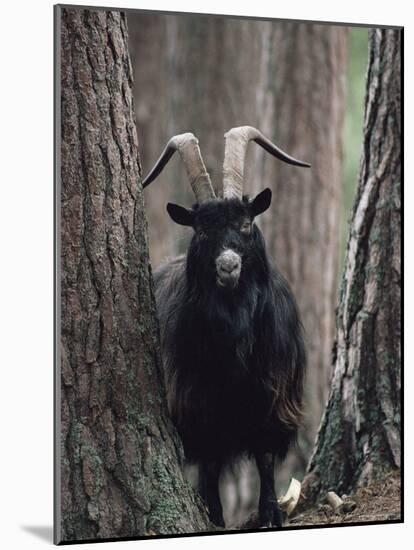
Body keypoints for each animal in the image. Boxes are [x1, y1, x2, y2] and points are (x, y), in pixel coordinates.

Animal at [142, 127, 308, 528]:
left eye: (247, 224)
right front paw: (214, 516)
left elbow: (265, 457)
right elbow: (210, 461)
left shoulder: (272, 396)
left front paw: (271, 514)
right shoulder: (197, 401)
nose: (228, 266)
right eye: (201, 230)